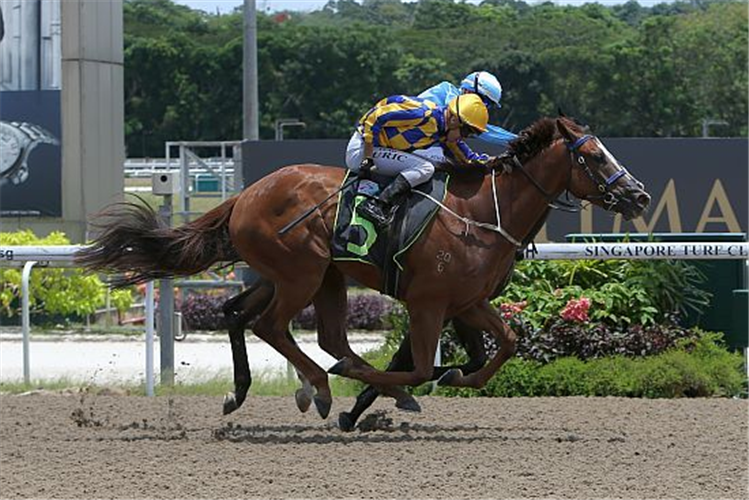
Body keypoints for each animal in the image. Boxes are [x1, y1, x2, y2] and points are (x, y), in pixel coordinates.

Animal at [77, 117, 648, 418]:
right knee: (273, 327)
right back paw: (322, 387)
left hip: (307, 275)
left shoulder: (468, 300)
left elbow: (502, 346)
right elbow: (417, 364)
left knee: (249, 315)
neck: (483, 214)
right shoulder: (428, 301)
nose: (639, 195)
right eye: (596, 156)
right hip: (301, 273)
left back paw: (249, 392)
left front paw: (452, 375)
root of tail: (246, 193)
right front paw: (372, 390)